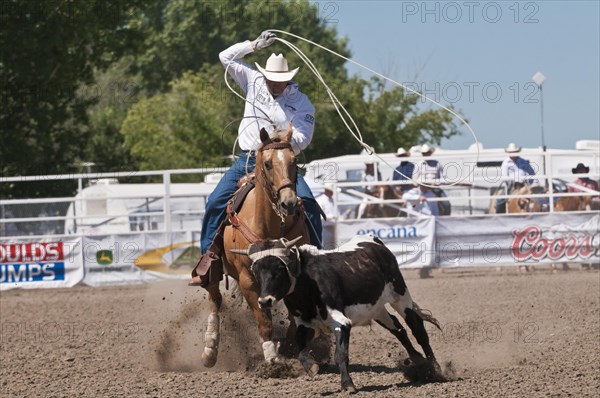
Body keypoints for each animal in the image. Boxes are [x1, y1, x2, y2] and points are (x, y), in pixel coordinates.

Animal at [200, 125, 310, 366]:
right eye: (268, 164)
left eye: (294, 161)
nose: (289, 203)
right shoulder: (247, 280)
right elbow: (264, 322)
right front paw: (272, 359)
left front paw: (291, 347)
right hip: (214, 269)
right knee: (214, 298)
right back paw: (210, 347)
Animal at [232, 233, 442, 392]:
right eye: (256, 271)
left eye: (278, 269)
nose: (264, 301)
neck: (308, 284)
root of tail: (373, 240)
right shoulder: (304, 323)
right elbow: (300, 348)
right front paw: (311, 367)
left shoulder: (341, 322)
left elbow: (341, 354)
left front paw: (347, 384)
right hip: (376, 309)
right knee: (398, 329)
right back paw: (418, 362)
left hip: (400, 295)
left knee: (417, 329)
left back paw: (435, 368)